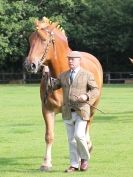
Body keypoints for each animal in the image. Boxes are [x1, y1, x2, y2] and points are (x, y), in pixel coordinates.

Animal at [24, 17, 103, 171]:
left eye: (44, 40)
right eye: (30, 40)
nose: (30, 65)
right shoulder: (47, 110)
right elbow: (49, 136)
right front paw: (46, 163)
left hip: (91, 108)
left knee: (86, 127)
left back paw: (87, 149)